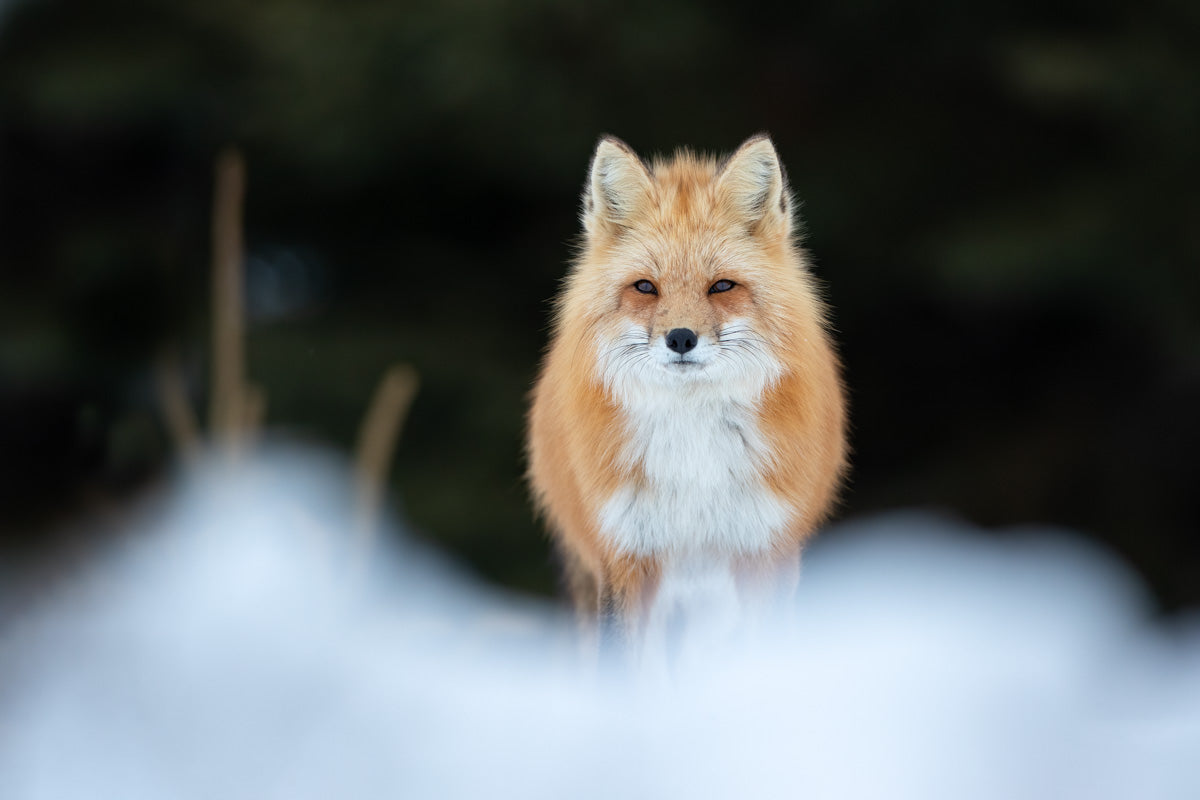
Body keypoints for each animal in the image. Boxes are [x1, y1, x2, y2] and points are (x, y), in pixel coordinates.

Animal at [526, 134, 847, 655]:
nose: (680, 338)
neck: (692, 455)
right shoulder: (624, 554)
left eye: (721, 286)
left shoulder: (766, 548)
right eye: (645, 288)